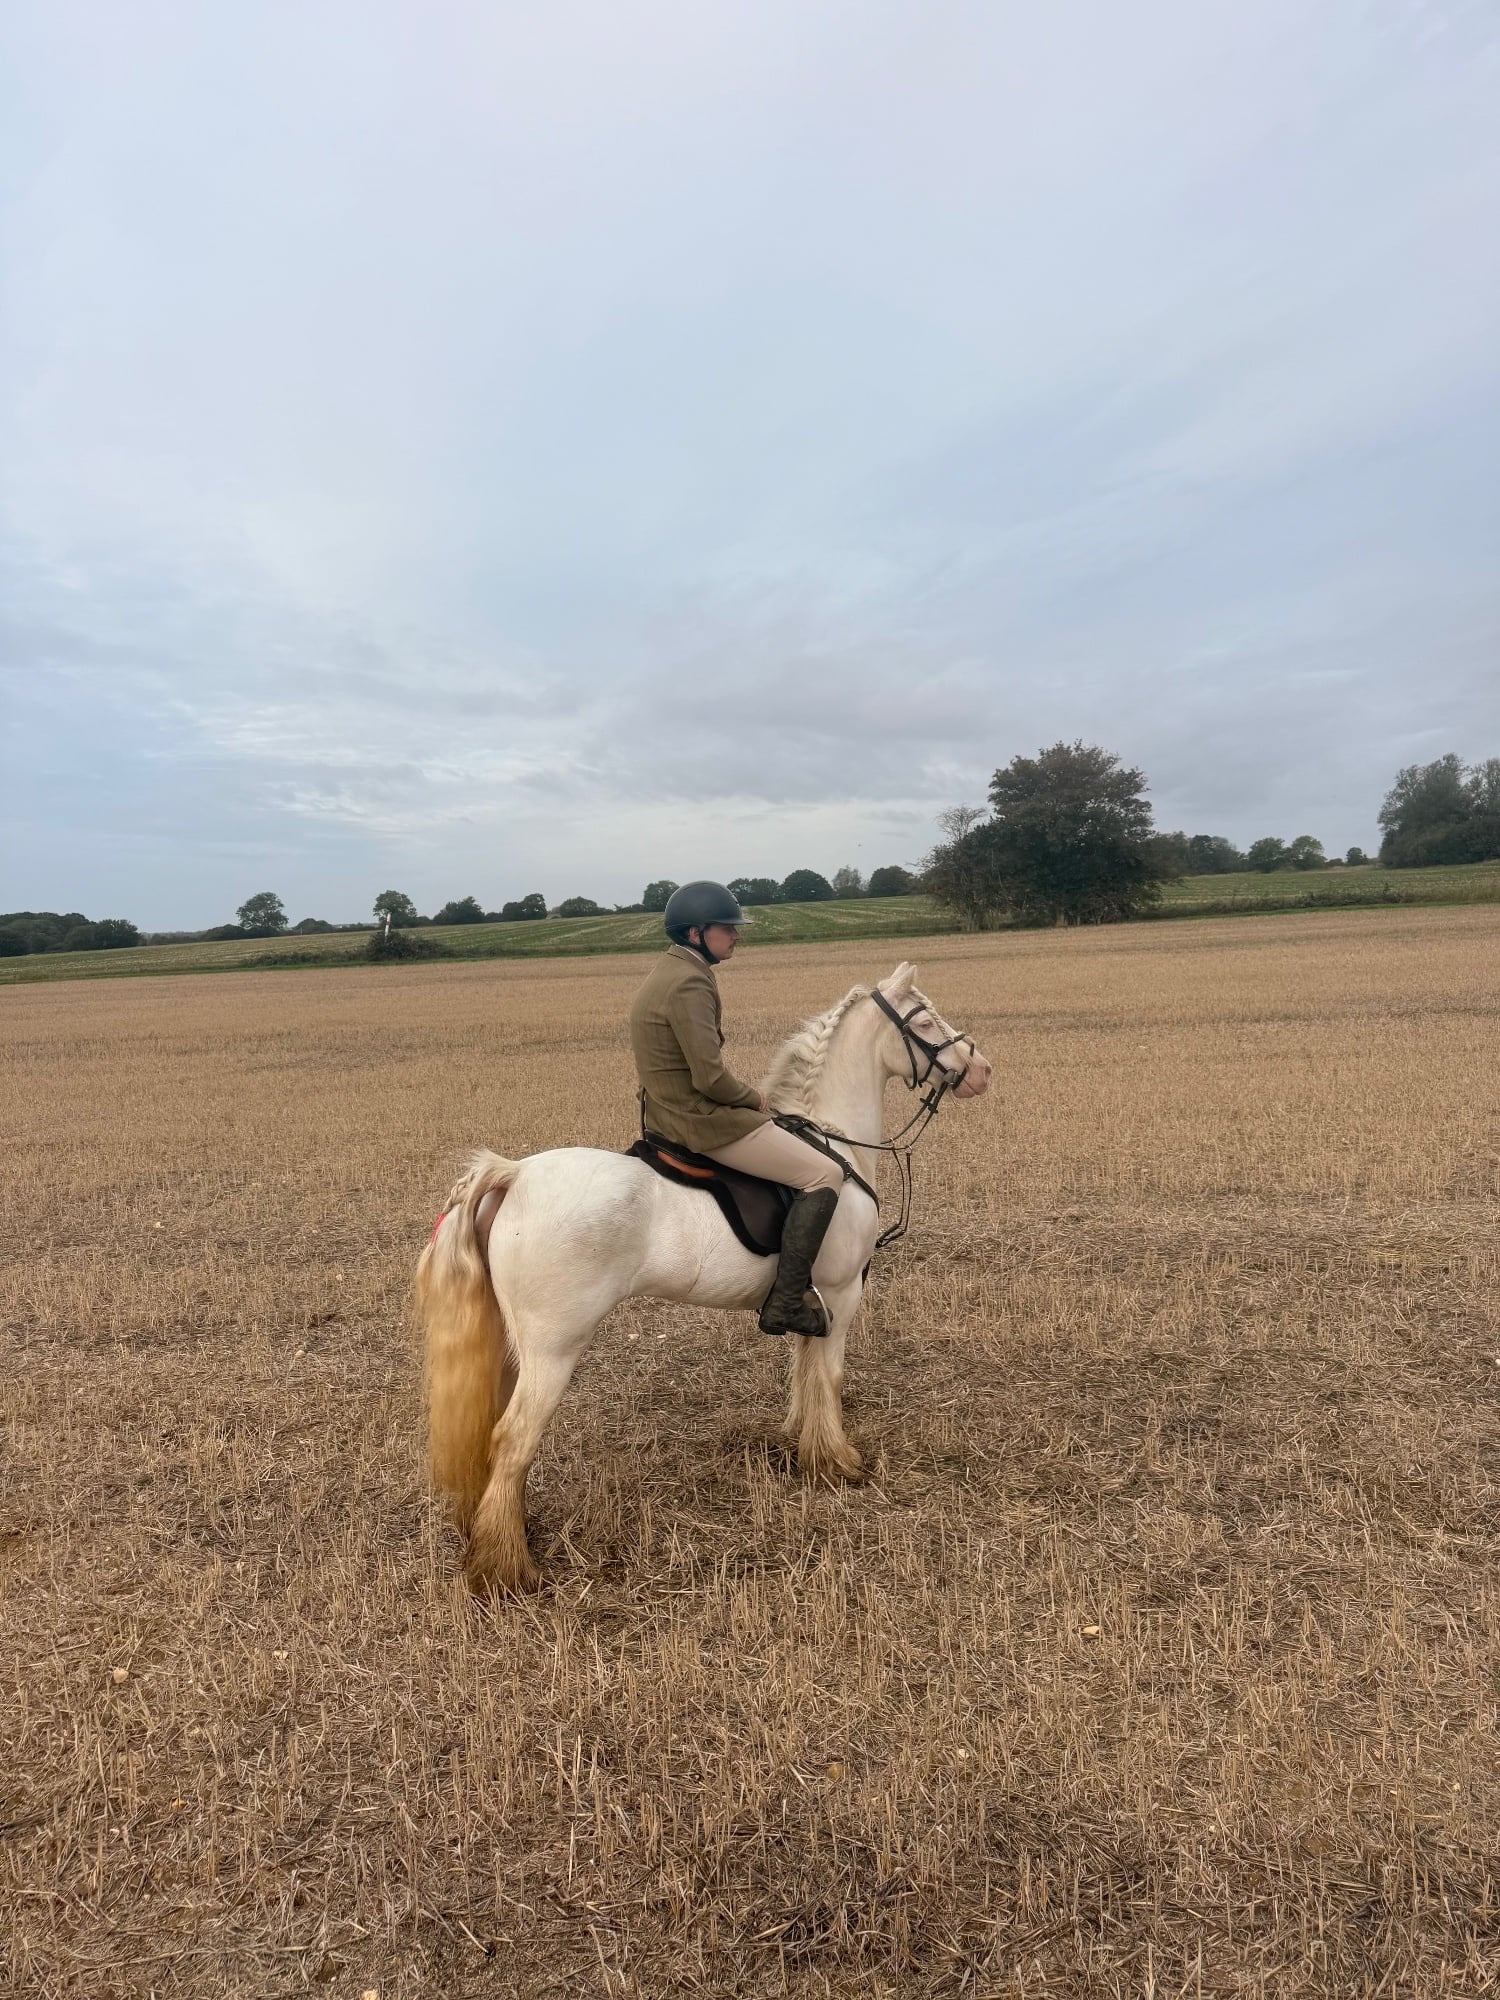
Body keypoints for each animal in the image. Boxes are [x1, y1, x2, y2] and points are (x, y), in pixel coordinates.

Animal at [416, 961, 992, 1592]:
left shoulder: (810, 1299)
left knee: (491, 1436)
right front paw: (839, 1464)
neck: (834, 1141)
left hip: (510, 1344)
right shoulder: (842, 1295)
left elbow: (804, 1373)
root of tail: (514, 1174)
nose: (981, 1070)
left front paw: (803, 1446)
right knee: (514, 1437)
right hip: (553, 1349)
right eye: (924, 1020)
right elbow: (830, 1378)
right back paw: (507, 1568)